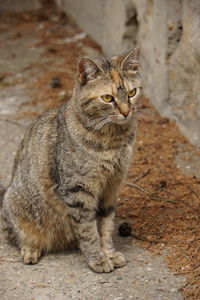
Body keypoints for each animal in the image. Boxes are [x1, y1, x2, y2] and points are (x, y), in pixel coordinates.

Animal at [1, 45, 142, 274]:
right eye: (108, 98)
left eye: (132, 93)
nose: (126, 112)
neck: (113, 139)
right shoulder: (78, 190)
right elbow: (88, 230)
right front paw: (98, 259)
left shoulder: (112, 186)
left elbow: (105, 226)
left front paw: (109, 253)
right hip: (16, 205)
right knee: (14, 234)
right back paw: (30, 249)